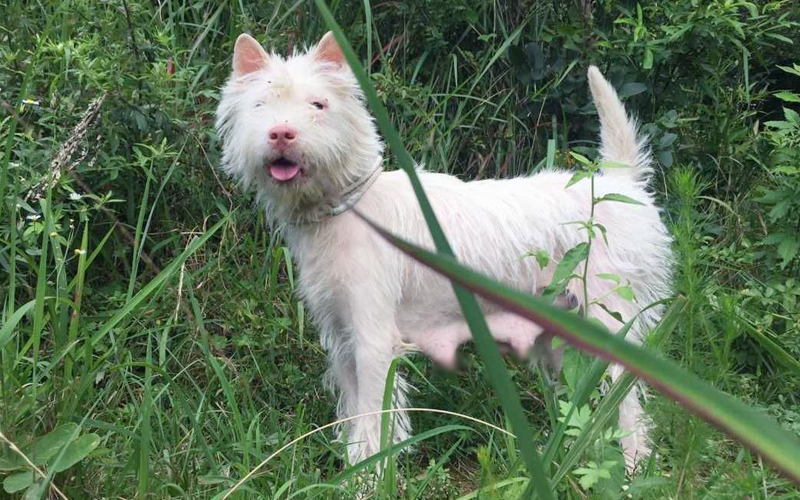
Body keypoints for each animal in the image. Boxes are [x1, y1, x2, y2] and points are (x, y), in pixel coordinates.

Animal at [216, 30, 672, 468]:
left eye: (318, 104)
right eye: (260, 104)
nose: (281, 133)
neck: (348, 209)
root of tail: (621, 184)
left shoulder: (374, 341)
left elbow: (374, 420)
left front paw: (370, 478)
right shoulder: (343, 341)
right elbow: (354, 416)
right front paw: (350, 473)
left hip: (610, 323)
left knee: (627, 405)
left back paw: (632, 468)